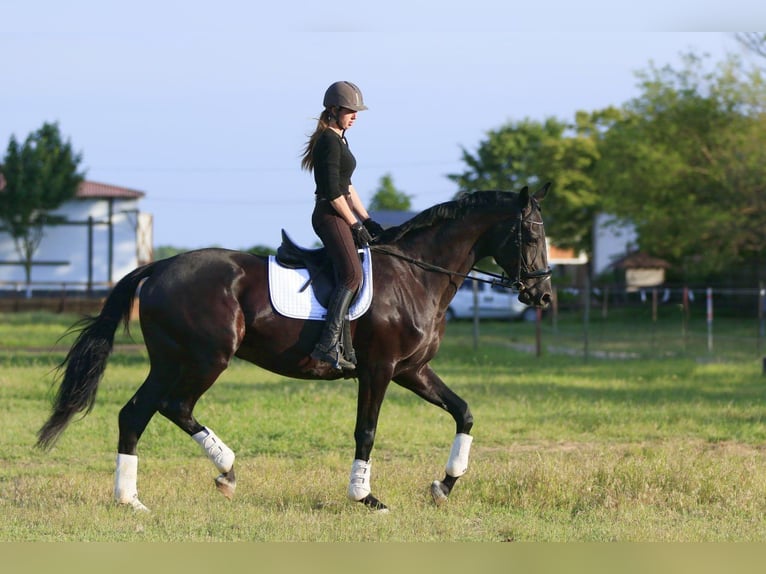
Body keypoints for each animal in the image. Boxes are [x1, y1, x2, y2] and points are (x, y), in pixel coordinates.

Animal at [37, 183, 552, 512]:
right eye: (530, 234)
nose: (543, 296)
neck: (415, 275)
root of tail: (160, 267)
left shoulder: (412, 371)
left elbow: (464, 412)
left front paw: (445, 486)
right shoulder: (380, 370)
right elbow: (367, 432)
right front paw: (365, 497)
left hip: (170, 360)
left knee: (137, 414)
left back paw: (135, 498)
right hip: (204, 358)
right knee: (170, 406)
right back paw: (220, 472)